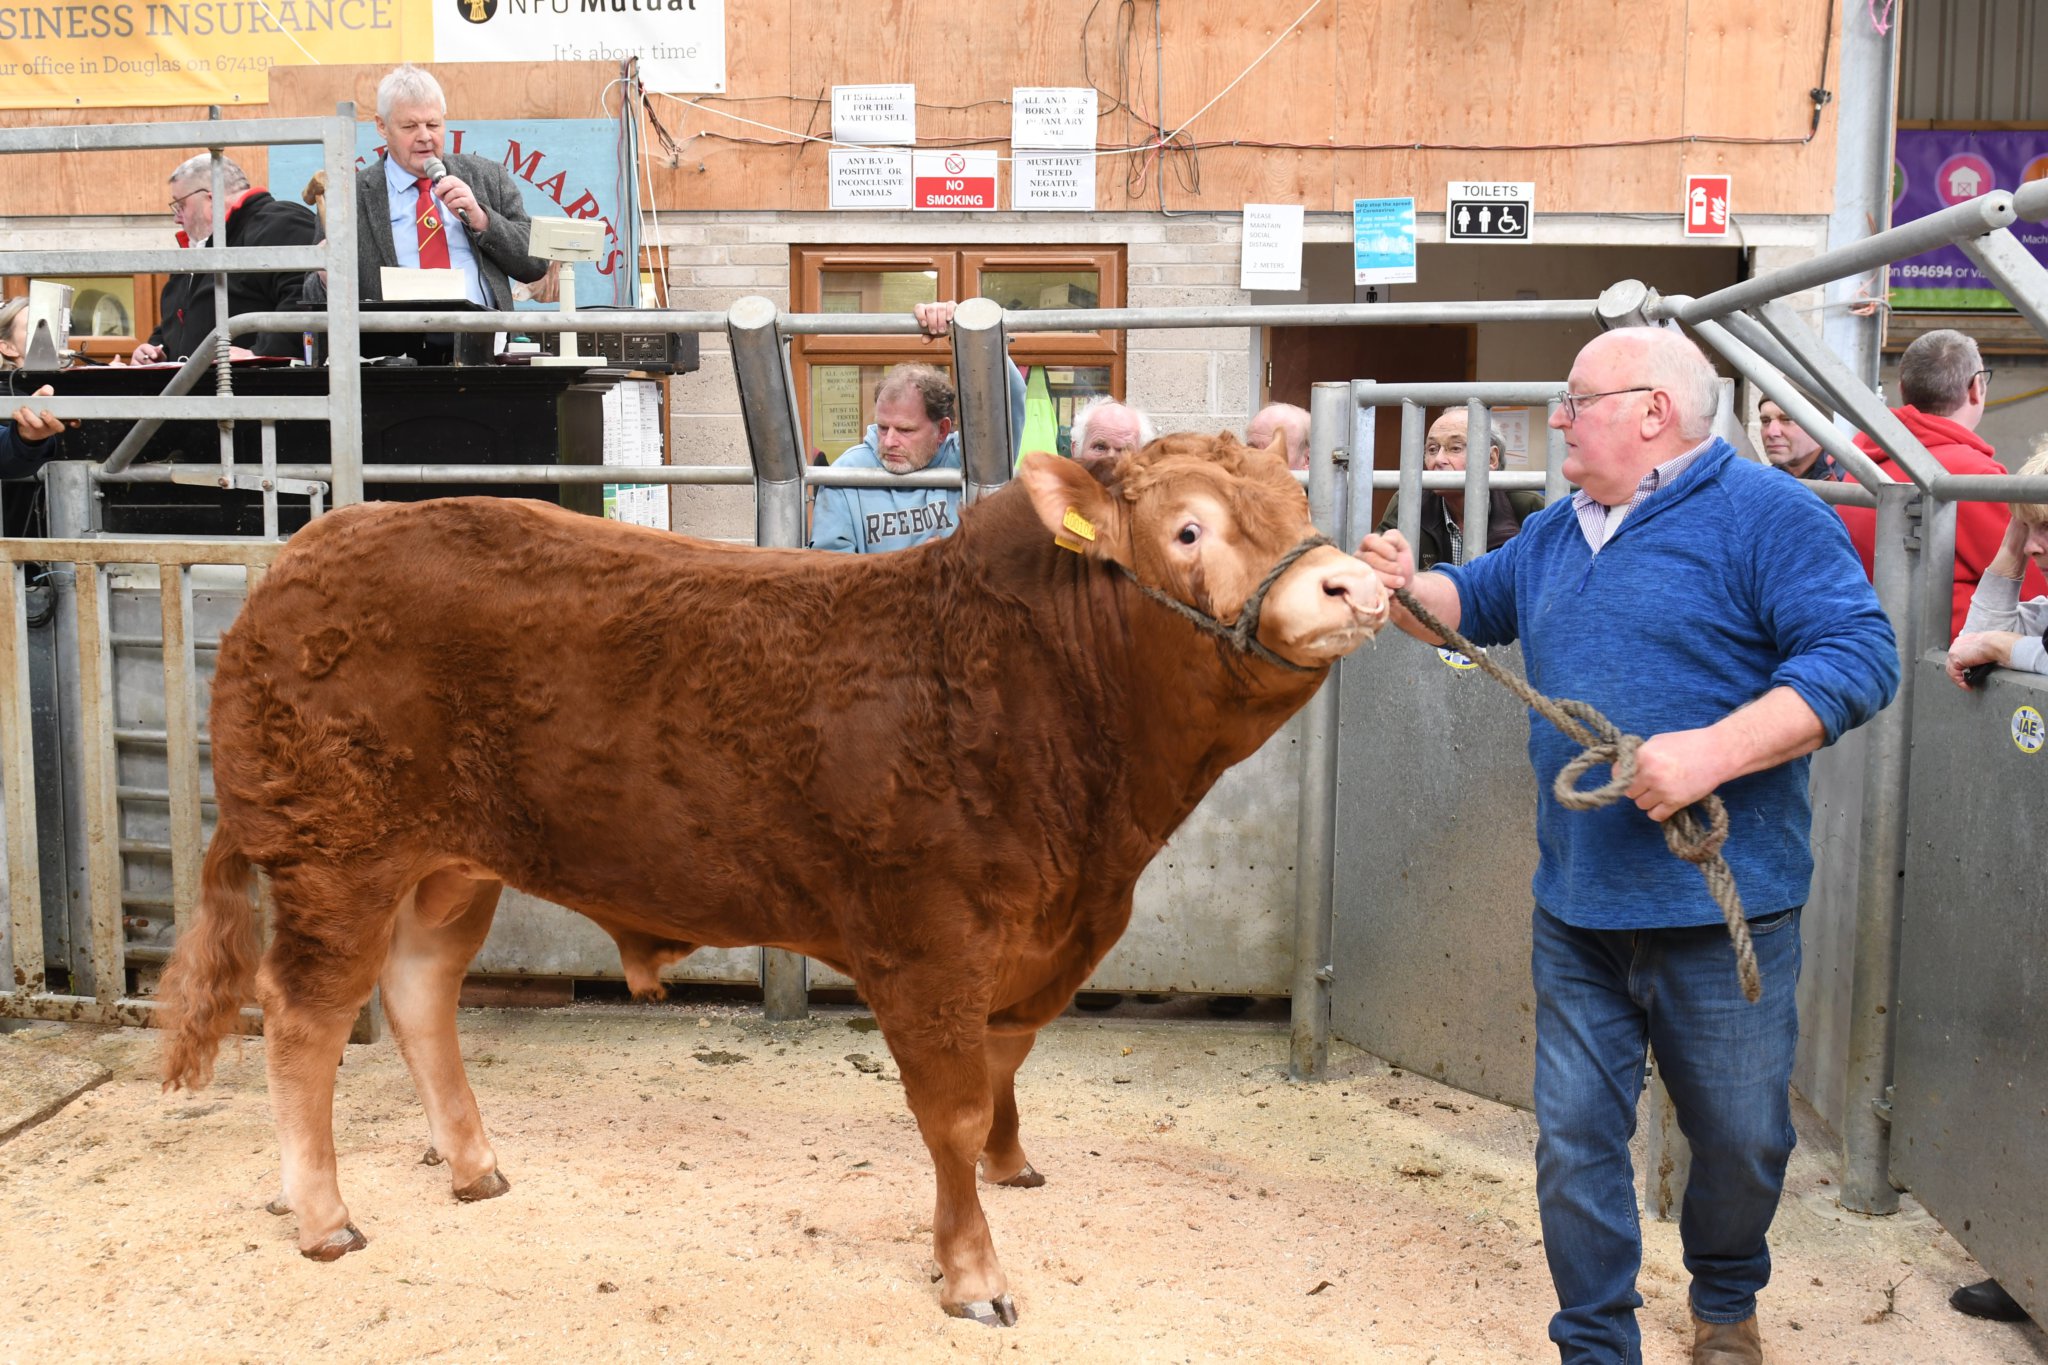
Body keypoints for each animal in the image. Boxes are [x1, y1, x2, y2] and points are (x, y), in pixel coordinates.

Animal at [155, 432, 1390, 1325]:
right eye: (1189, 527)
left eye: (1295, 507)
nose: (1352, 584)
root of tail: (305, 555)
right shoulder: (923, 941)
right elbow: (948, 1108)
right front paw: (973, 1274)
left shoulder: (1036, 941)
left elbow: (1001, 1073)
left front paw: (1010, 1169)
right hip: (336, 854)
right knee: (303, 1016)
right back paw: (322, 1214)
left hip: (449, 865)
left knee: (418, 992)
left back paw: (472, 1166)